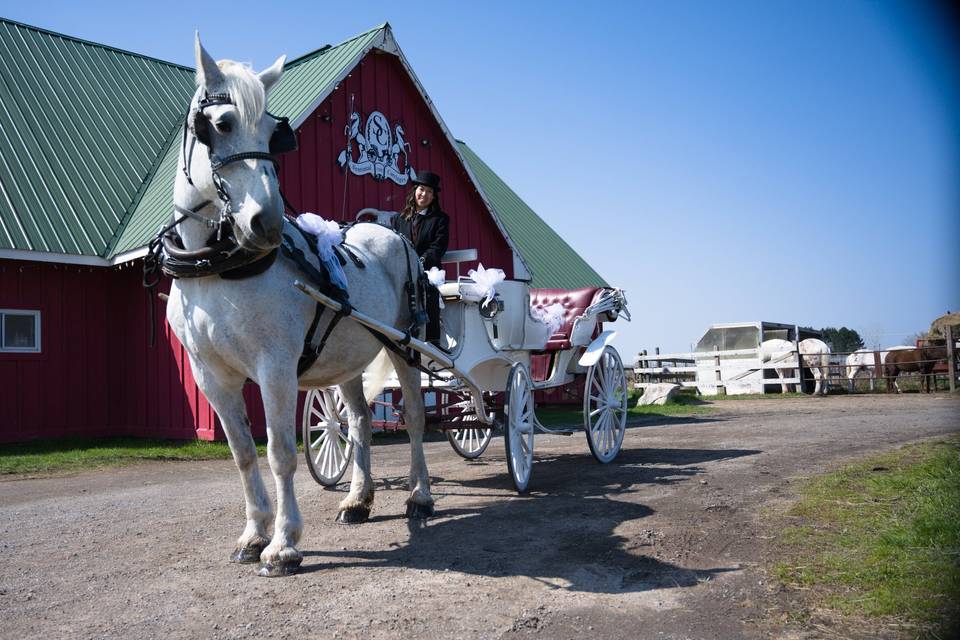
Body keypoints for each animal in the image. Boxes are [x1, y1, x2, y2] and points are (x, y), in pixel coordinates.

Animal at [166, 35, 436, 576]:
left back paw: (419, 495)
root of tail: (395, 233)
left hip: (405, 345)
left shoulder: (275, 367)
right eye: (220, 125)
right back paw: (358, 499)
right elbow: (243, 454)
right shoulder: (211, 375)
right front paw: (253, 534)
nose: (266, 224)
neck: (215, 267)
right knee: (359, 424)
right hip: (349, 359)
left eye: (275, 135)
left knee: (416, 417)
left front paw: (283, 544)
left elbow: (280, 454)